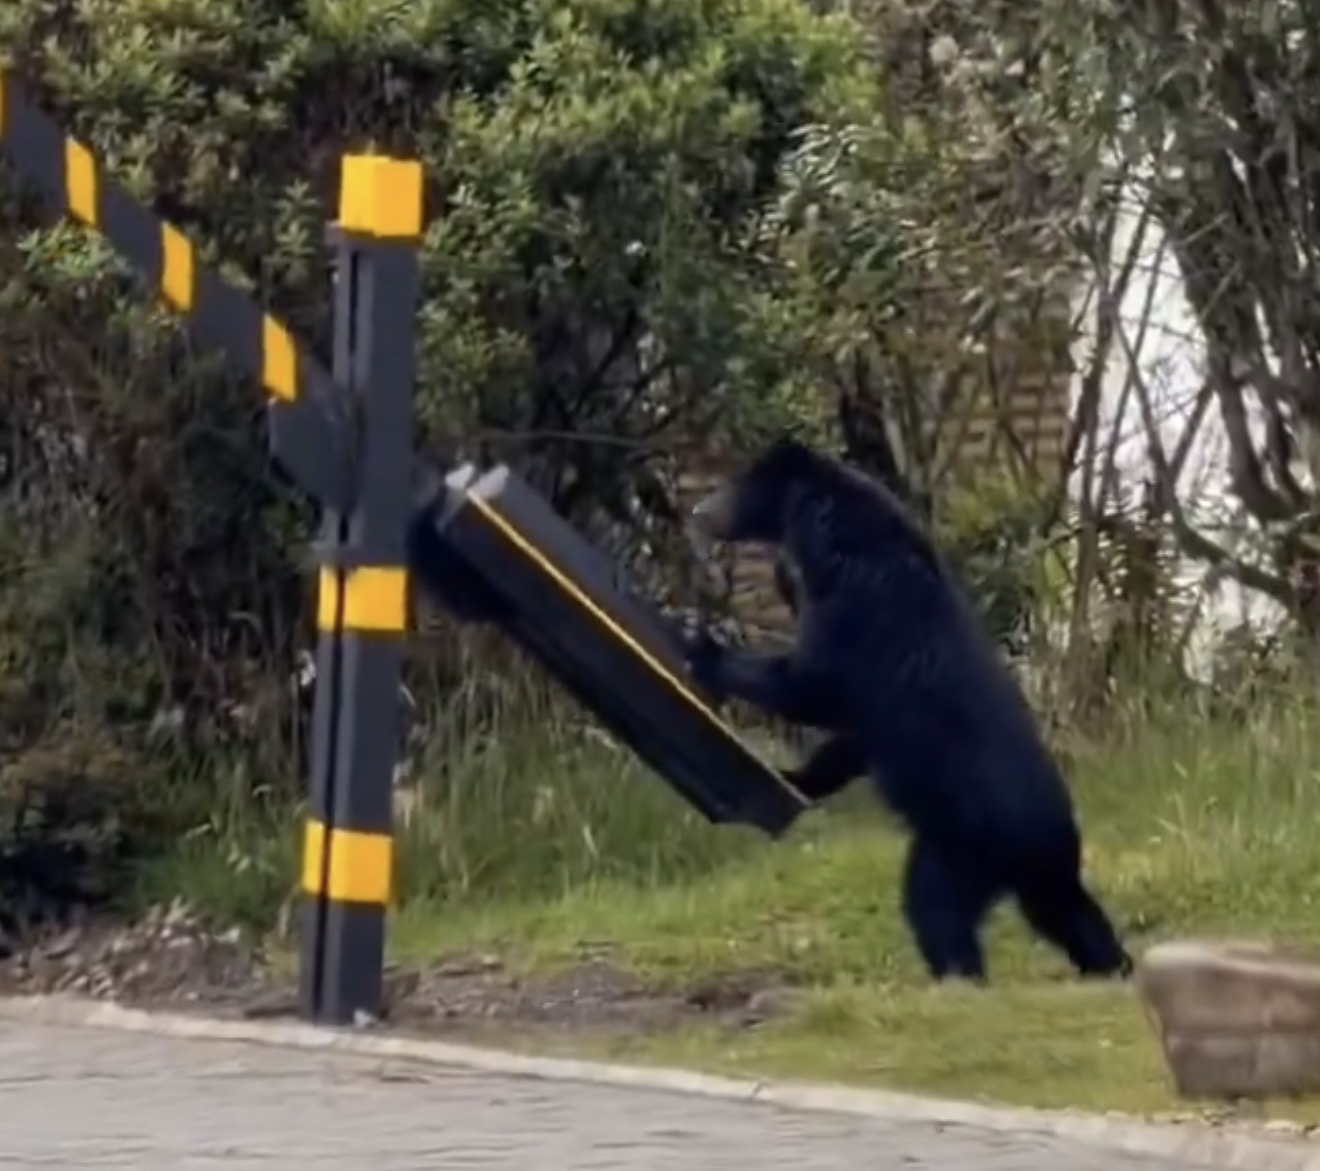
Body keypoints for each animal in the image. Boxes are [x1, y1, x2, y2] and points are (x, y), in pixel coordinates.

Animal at [685, 436, 1132, 984]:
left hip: (962, 845)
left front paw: (707, 649)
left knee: (935, 906)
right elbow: (848, 740)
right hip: (1040, 870)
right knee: (1070, 912)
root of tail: (1047, 832)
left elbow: (811, 686)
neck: (838, 546)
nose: (699, 511)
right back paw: (1111, 965)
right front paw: (797, 775)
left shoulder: (857, 615)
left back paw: (958, 976)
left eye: (736, 484)